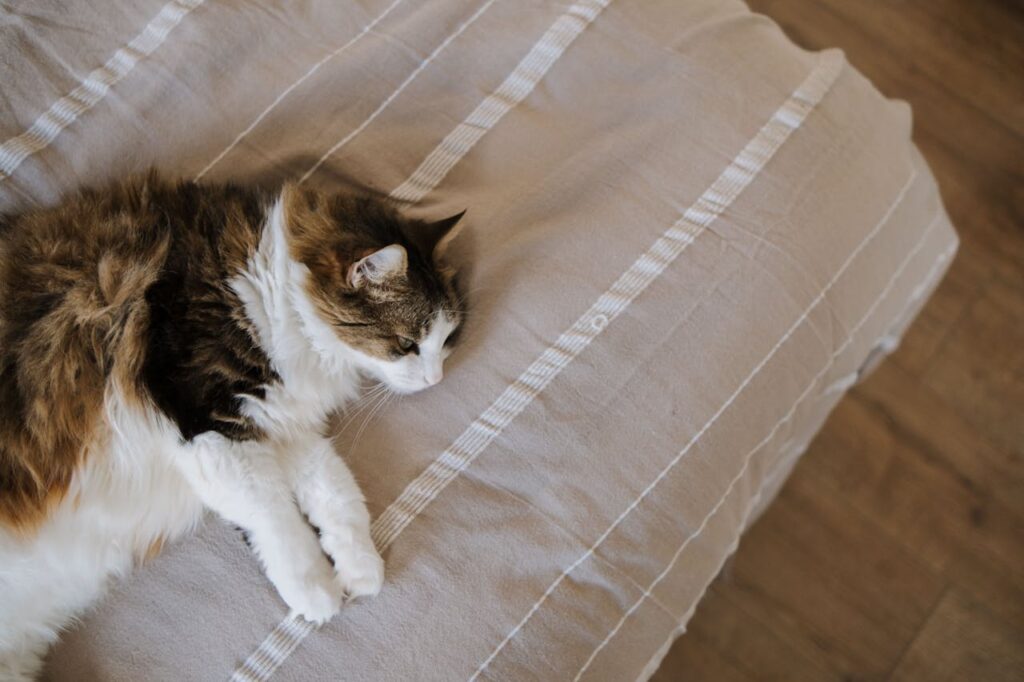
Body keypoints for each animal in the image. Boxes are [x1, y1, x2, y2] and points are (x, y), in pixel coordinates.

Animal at [0, 173, 464, 675]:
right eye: (407, 344)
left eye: (446, 340)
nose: (436, 378)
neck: (267, 289)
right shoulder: (210, 422)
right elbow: (276, 517)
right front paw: (315, 591)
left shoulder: (282, 425)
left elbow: (337, 495)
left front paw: (360, 567)